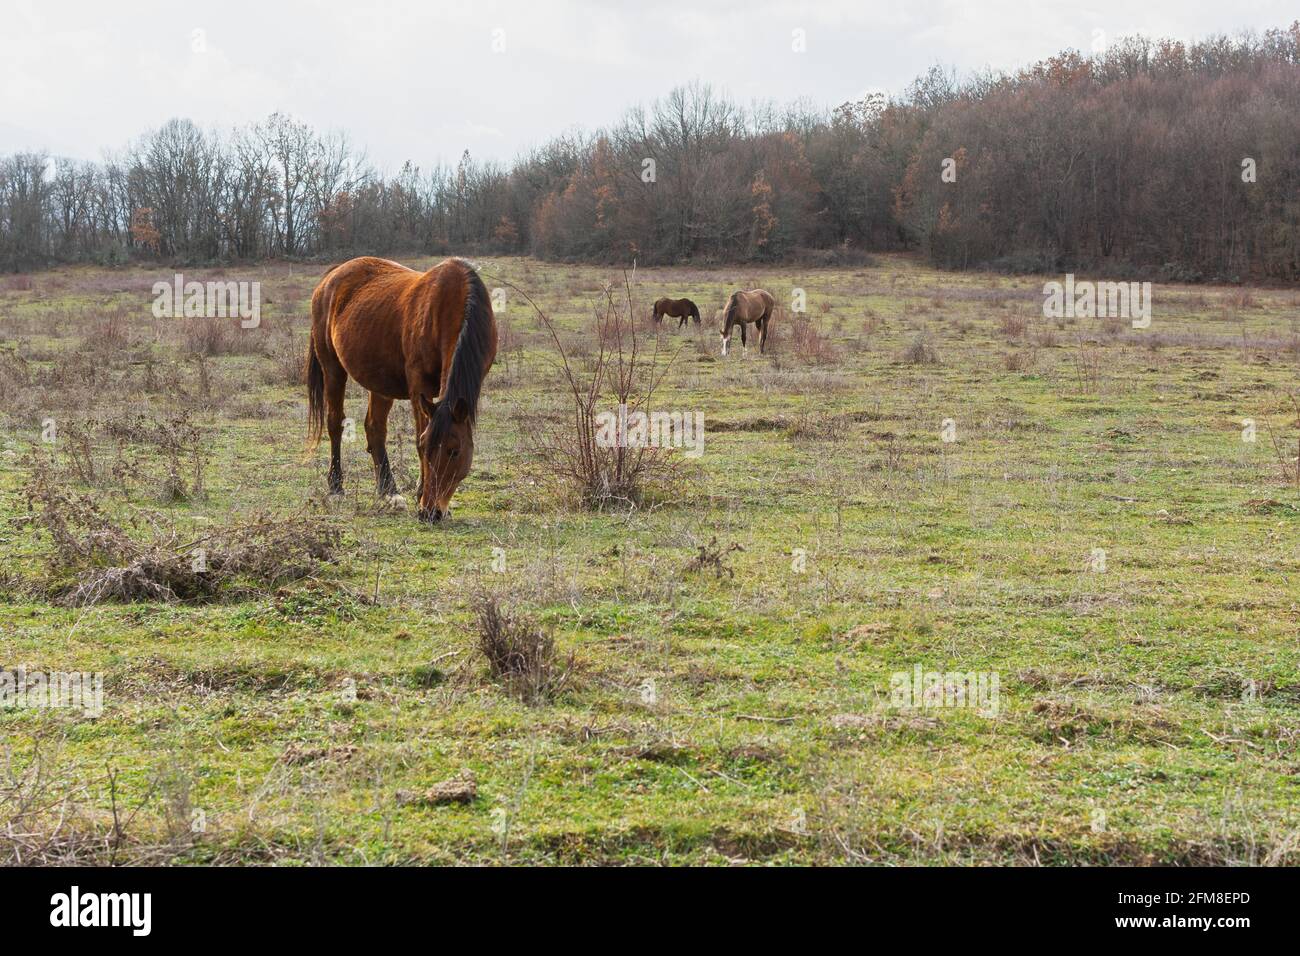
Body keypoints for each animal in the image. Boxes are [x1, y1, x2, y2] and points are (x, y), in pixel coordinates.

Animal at [306, 256, 497, 522]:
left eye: (454, 451)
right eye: (427, 449)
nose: (431, 512)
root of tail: (331, 277)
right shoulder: (419, 385)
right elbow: (417, 434)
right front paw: (420, 494)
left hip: (379, 380)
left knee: (375, 429)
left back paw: (388, 491)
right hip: (333, 370)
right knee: (335, 423)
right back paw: (336, 487)